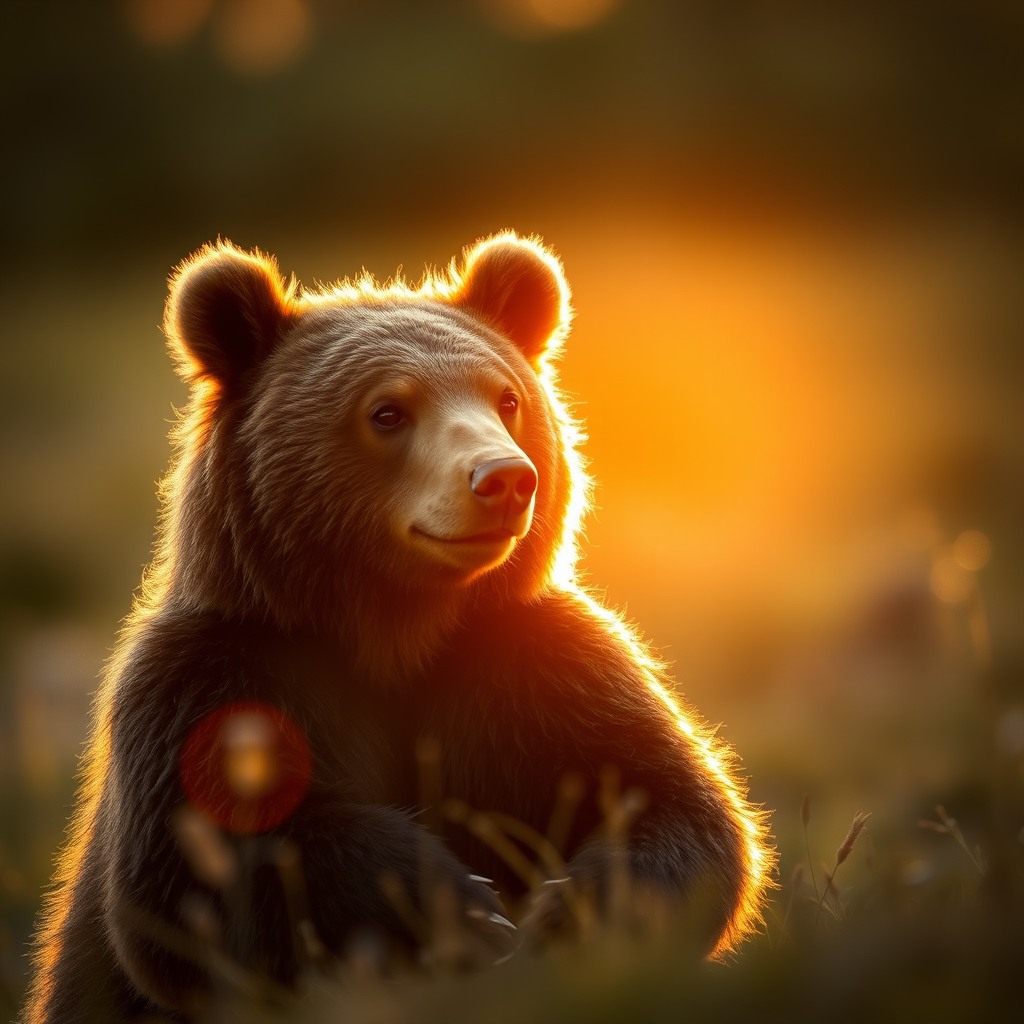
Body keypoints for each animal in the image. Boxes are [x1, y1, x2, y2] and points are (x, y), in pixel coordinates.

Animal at [23, 232, 773, 1023]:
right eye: (387, 411)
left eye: (506, 397)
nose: (505, 478)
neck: (395, 625)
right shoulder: (216, 679)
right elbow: (205, 872)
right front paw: (459, 911)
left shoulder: (539, 669)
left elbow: (674, 805)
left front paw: (566, 918)